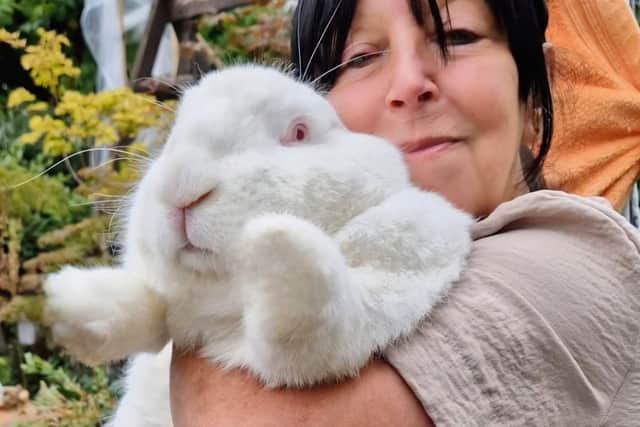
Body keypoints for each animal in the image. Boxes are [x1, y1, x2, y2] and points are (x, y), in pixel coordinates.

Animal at [43, 64, 473, 427]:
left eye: (299, 133)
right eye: (173, 137)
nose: (179, 187)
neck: (225, 305)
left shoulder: (397, 267)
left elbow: (314, 323)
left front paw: (272, 239)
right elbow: (152, 308)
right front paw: (68, 301)